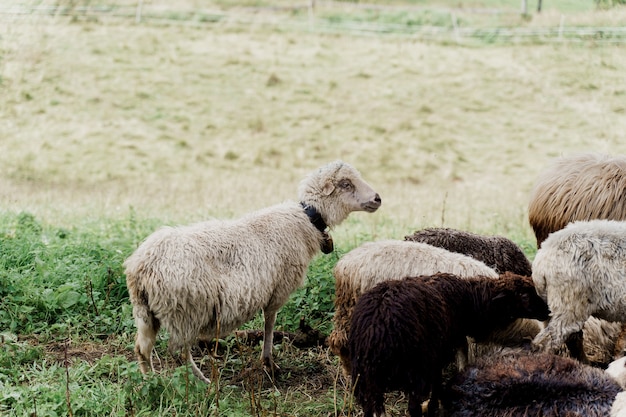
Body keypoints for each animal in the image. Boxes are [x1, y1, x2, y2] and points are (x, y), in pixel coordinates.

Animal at [123, 161, 380, 382]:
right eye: (346, 183)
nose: (378, 198)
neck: (306, 219)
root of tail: (141, 266)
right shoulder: (278, 289)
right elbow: (270, 323)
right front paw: (268, 362)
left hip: (146, 313)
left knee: (142, 348)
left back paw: (150, 381)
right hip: (184, 311)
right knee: (178, 352)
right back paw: (202, 382)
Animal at [348, 272, 548, 414]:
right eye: (523, 295)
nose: (547, 311)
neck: (470, 301)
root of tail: (375, 329)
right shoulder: (439, 350)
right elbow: (439, 380)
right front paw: (435, 406)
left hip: (365, 375)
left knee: (369, 407)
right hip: (414, 367)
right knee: (412, 406)